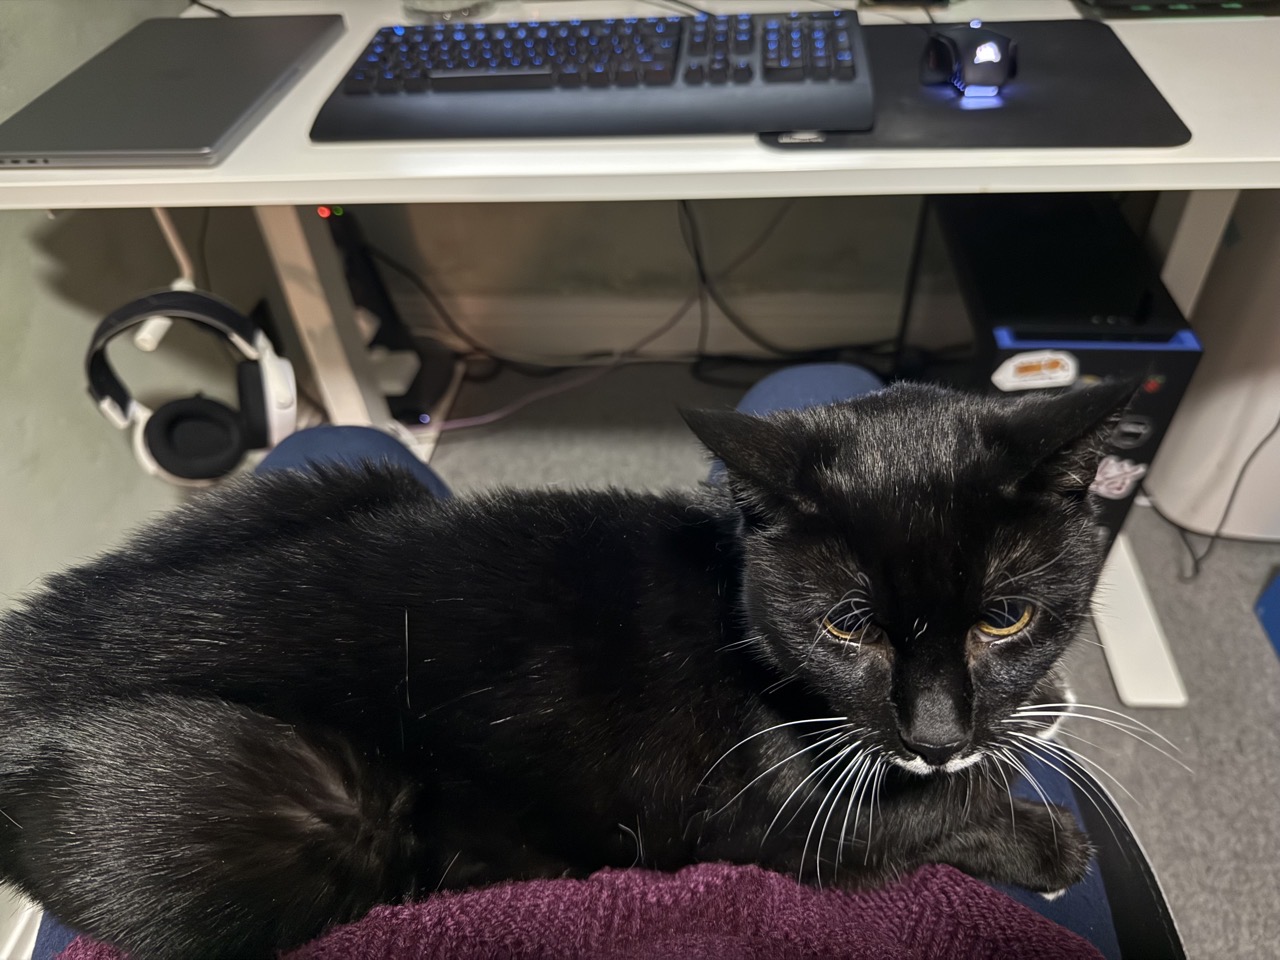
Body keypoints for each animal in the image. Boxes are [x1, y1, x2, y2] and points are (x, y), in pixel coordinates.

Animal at [0, 378, 1126, 957]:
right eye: (847, 628)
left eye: (1007, 618)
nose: (936, 730)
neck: (732, 597)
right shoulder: (763, 817)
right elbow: (919, 816)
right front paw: (1046, 840)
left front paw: (1032, 713)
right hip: (294, 806)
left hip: (343, 476)